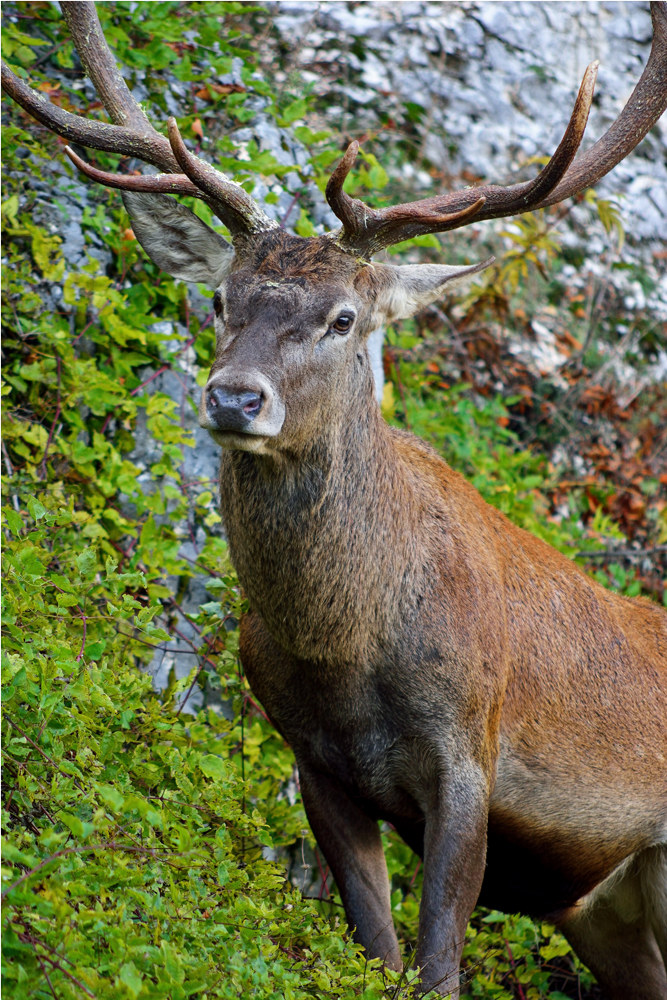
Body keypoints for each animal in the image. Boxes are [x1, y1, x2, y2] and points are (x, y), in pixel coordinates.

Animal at [3, 2, 667, 996]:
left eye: (344, 319)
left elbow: (436, 966)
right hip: (606, 910)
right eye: (219, 299)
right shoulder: (314, 764)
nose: (234, 398)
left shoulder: (469, 753)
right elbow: (375, 949)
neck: (345, 648)